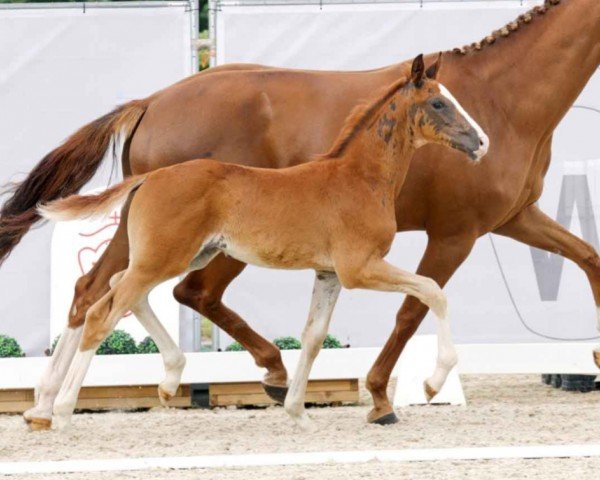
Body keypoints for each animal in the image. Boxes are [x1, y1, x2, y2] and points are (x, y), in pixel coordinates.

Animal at [39, 54, 488, 430]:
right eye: (438, 103)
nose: (482, 142)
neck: (358, 178)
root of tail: (150, 177)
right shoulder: (359, 267)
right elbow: (432, 291)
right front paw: (433, 383)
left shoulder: (328, 273)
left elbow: (313, 336)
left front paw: (296, 410)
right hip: (164, 258)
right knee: (103, 309)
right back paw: (60, 410)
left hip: (185, 255)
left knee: (122, 293)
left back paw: (165, 382)